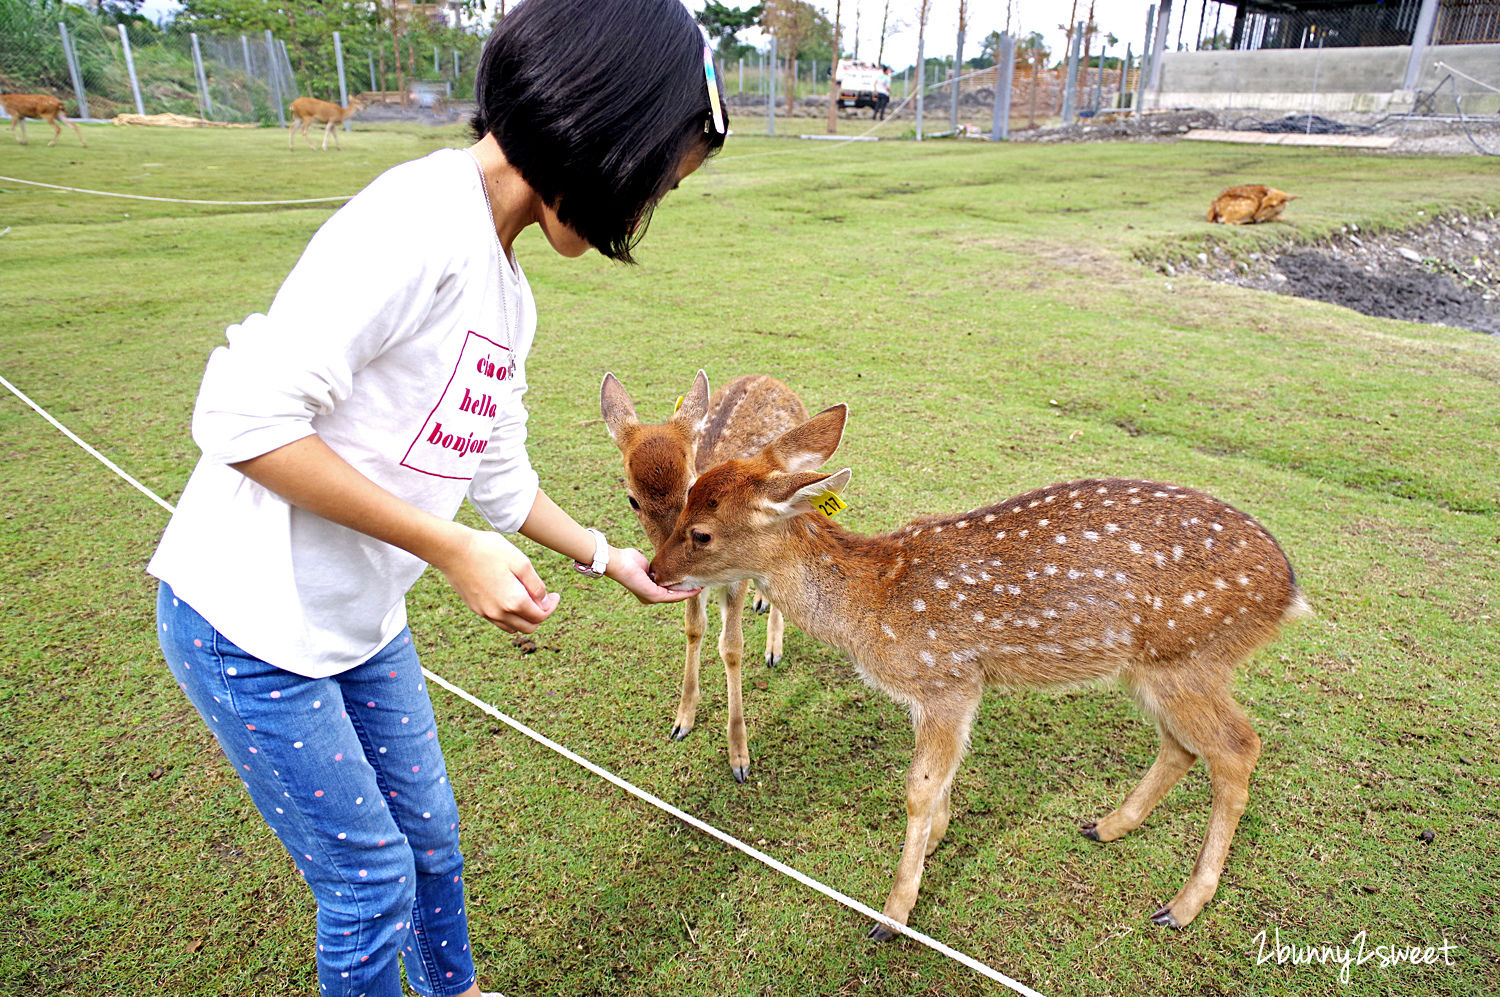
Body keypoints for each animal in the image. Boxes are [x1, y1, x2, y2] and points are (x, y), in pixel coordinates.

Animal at [651, 401, 1308, 935]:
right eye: (683, 501)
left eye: (701, 532)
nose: (655, 570)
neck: (872, 603)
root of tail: (1289, 592)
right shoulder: (954, 690)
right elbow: (942, 778)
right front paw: (937, 843)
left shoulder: (945, 677)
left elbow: (918, 787)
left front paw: (894, 913)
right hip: (1148, 667)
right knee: (1184, 745)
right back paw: (1108, 826)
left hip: (1189, 654)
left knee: (1238, 747)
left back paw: (1181, 906)